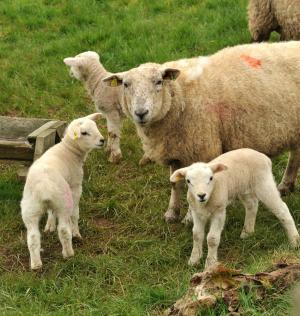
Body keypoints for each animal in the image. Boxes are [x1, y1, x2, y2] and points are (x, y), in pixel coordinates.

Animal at [20, 113, 105, 270]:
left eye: (96, 127)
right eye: (84, 133)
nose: (102, 141)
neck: (69, 150)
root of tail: (44, 186)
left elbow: (50, 212)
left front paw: (50, 225)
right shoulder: (75, 186)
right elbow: (75, 214)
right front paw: (76, 232)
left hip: (30, 207)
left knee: (33, 236)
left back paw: (36, 264)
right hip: (63, 200)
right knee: (64, 229)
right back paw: (69, 253)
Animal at [170, 149, 298, 270]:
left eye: (211, 178)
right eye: (188, 181)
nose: (201, 195)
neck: (205, 204)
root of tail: (264, 157)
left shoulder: (219, 212)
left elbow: (212, 239)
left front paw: (210, 264)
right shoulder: (197, 213)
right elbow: (196, 235)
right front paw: (194, 260)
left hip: (263, 183)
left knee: (282, 209)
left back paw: (295, 241)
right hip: (244, 187)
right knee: (252, 205)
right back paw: (247, 232)